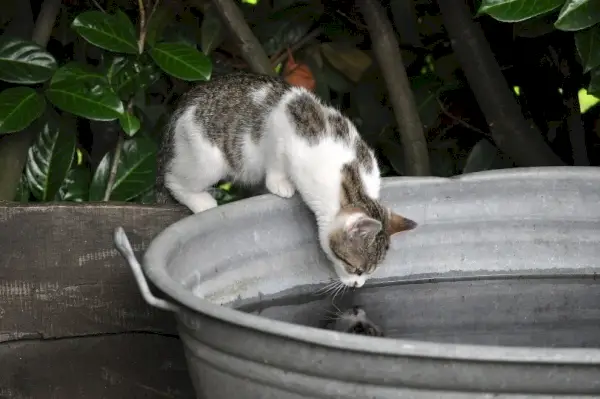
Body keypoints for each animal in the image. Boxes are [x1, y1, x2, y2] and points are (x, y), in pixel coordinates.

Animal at [155, 73, 418, 290]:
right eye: (356, 268)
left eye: (370, 272)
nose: (357, 285)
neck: (350, 179)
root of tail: (187, 99)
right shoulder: (280, 127)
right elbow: (276, 159)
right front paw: (279, 183)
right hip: (208, 158)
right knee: (173, 178)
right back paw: (201, 201)